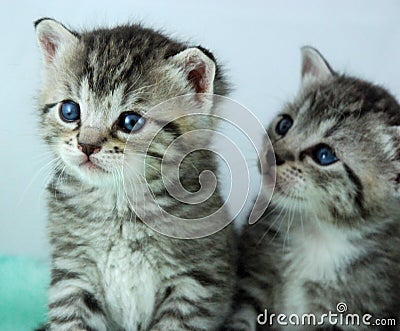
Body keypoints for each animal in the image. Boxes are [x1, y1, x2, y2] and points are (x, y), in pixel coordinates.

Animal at [34, 18, 236, 331]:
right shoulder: (73, 275)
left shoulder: (195, 283)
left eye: (130, 121)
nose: (87, 145)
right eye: (69, 111)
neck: (119, 207)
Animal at [228, 47, 400, 331]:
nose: (274, 155)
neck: (318, 234)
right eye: (284, 124)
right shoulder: (252, 283)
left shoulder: (353, 315)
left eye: (324, 155)